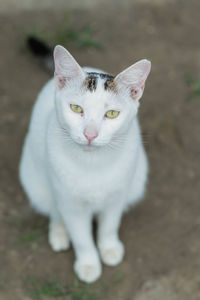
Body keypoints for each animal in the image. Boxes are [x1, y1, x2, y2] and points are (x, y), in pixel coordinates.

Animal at [19, 45, 150, 282]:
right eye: (76, 108)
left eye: (112, 113)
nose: (90, 134)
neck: (92, 163)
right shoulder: (70, 204)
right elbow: (81, 237)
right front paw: (88, 264)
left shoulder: (117, 195)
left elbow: (110, 225)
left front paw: (109, 248)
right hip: (37, 184)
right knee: (54, 210)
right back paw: (58, 233)